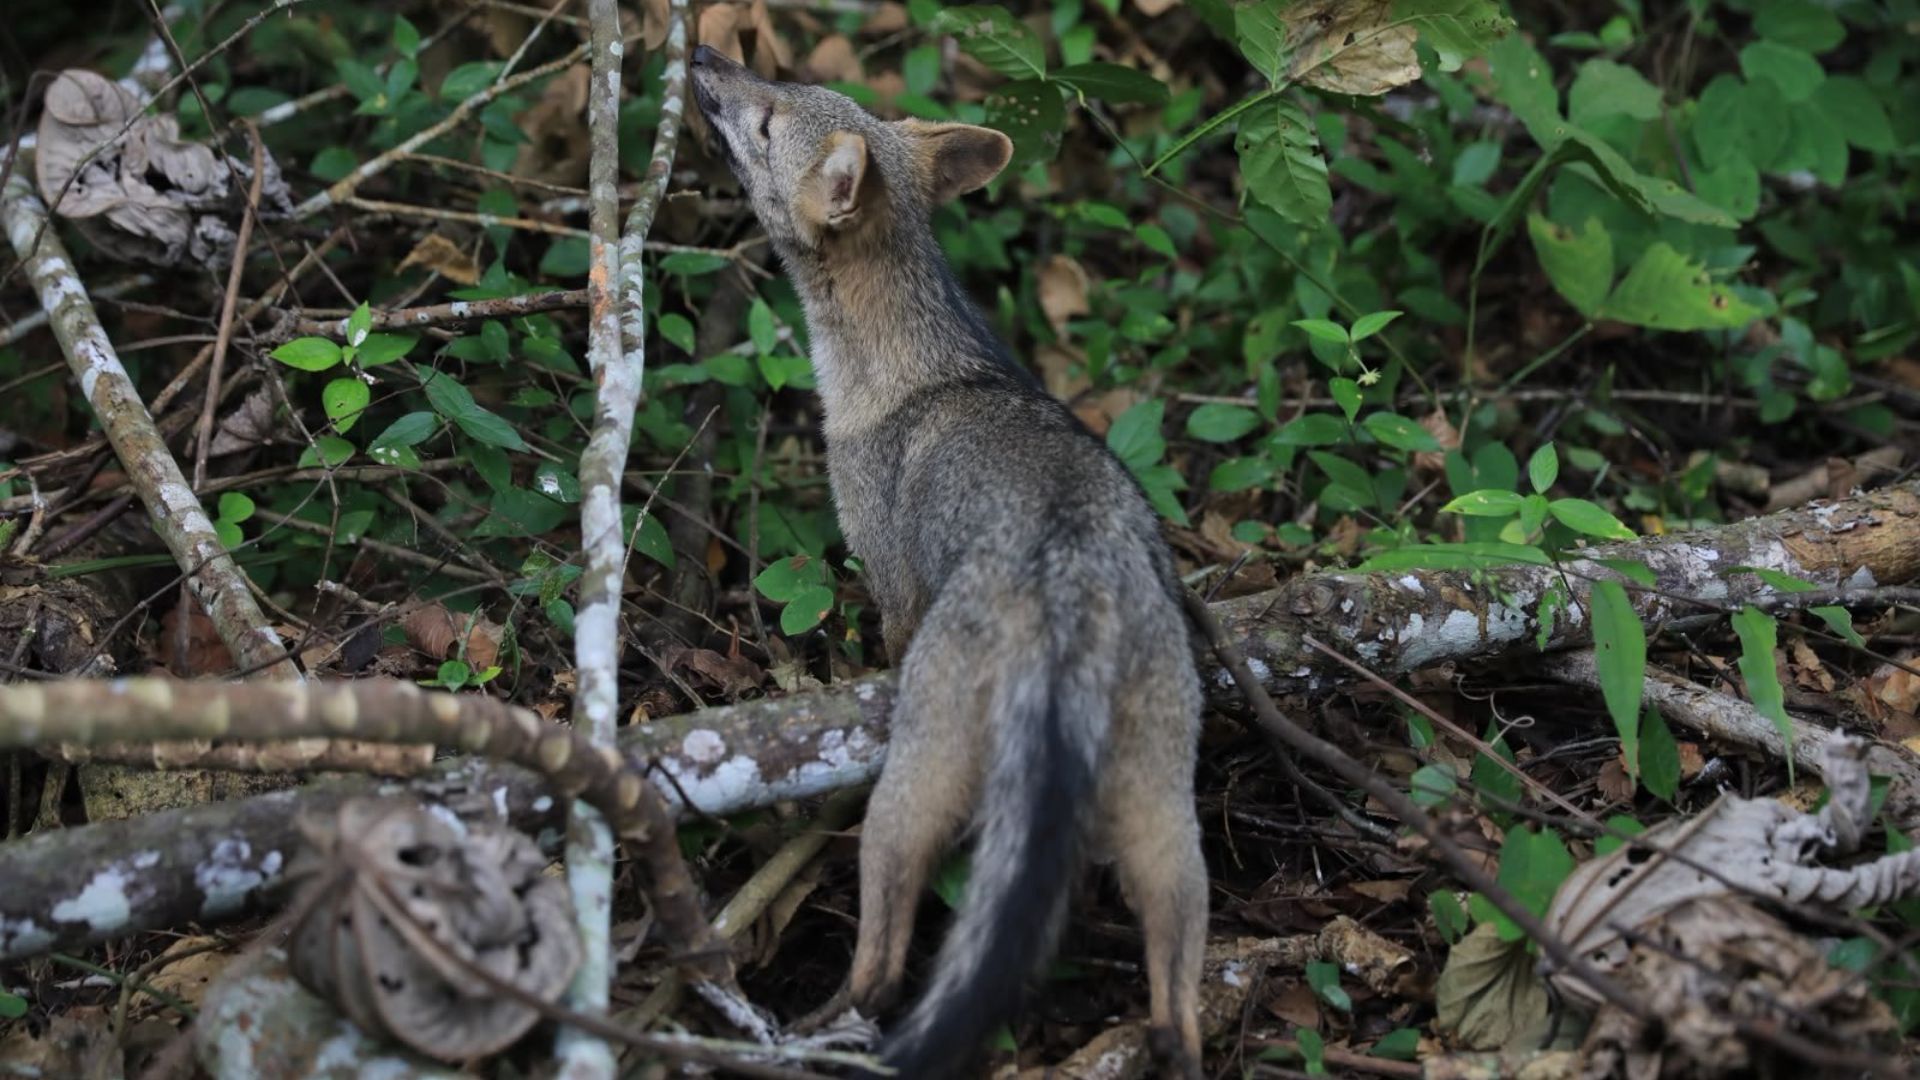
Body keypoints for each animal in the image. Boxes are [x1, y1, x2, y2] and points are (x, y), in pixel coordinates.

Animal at [690, 45, 1208, 1079]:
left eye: (766, 120)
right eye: (778, 78)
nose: (704, 55)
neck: (924, 365)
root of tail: (1071, 580)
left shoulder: (892, 580)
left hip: (913, 779)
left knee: (885, 961)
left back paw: (825, 1030)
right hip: (1166, 802)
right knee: (1183, 975)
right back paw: (1169, 1041)